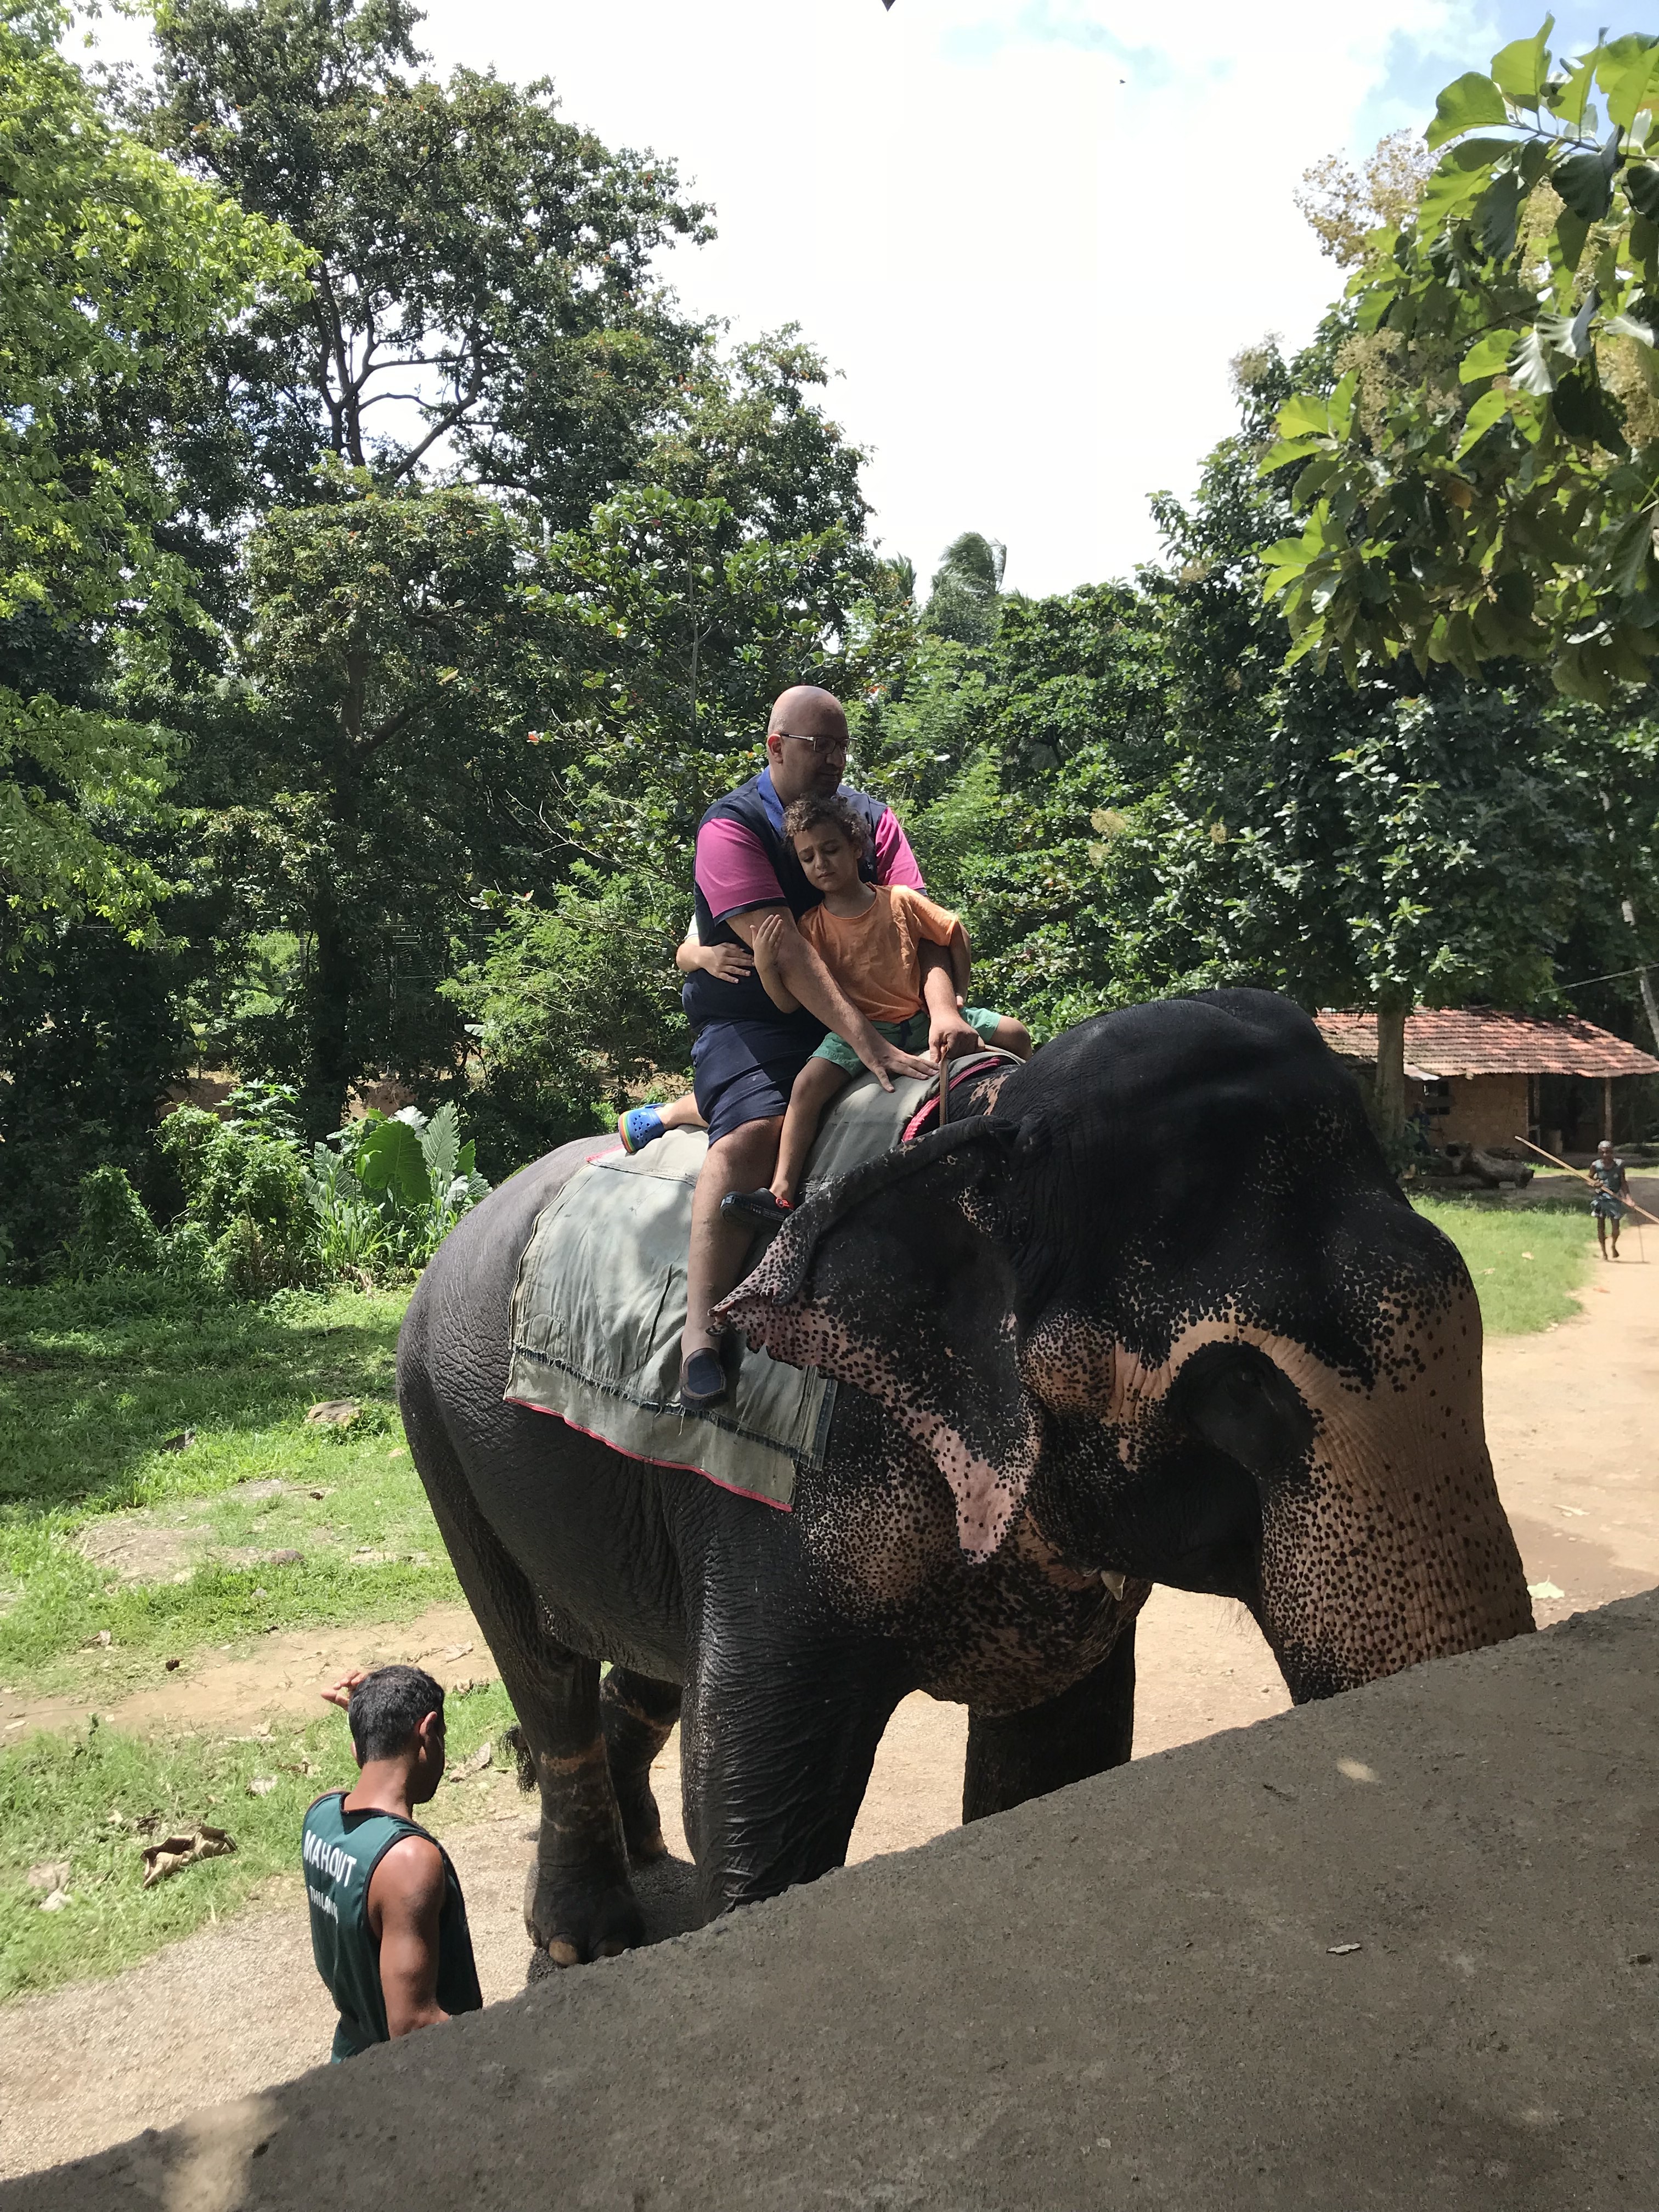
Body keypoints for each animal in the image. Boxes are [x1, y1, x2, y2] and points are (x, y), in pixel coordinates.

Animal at [397, 989, 1533, 1963]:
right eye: (1238, 1391)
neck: (982, 1129)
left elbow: (1056, 1752)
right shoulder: (777, 1494)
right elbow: (754, 1791)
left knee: (645, 1668)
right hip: (437, 1423)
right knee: (541, 1670)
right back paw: (580, 1941)